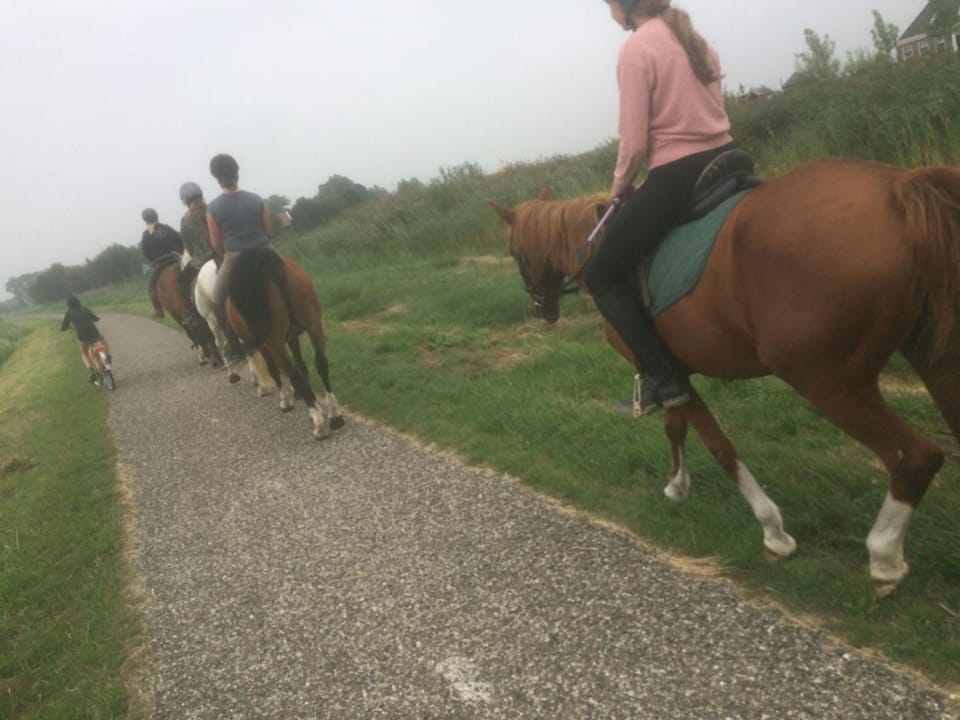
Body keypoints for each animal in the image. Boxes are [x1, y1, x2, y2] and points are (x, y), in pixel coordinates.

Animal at [226, 247, 345, 440]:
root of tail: (264, 260)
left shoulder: (265, 345)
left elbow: (274, 370)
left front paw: (286, 400)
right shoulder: (293, 337)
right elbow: (302, 366)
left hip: (274, 343)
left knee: (290, 372)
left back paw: (319, 423)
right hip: (313, 323)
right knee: (321, 362)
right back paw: (334, 413)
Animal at [490, 156, 960, 595]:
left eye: (514, 252)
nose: (539, 308)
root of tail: (896, 187)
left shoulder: (666, 372)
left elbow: (719, 446)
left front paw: (773, 531)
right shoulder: (668, 372)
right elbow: (675, 427)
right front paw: (677, 487)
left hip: (828, 382)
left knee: (914, 456)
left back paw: (884, 556)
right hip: (934, 362)